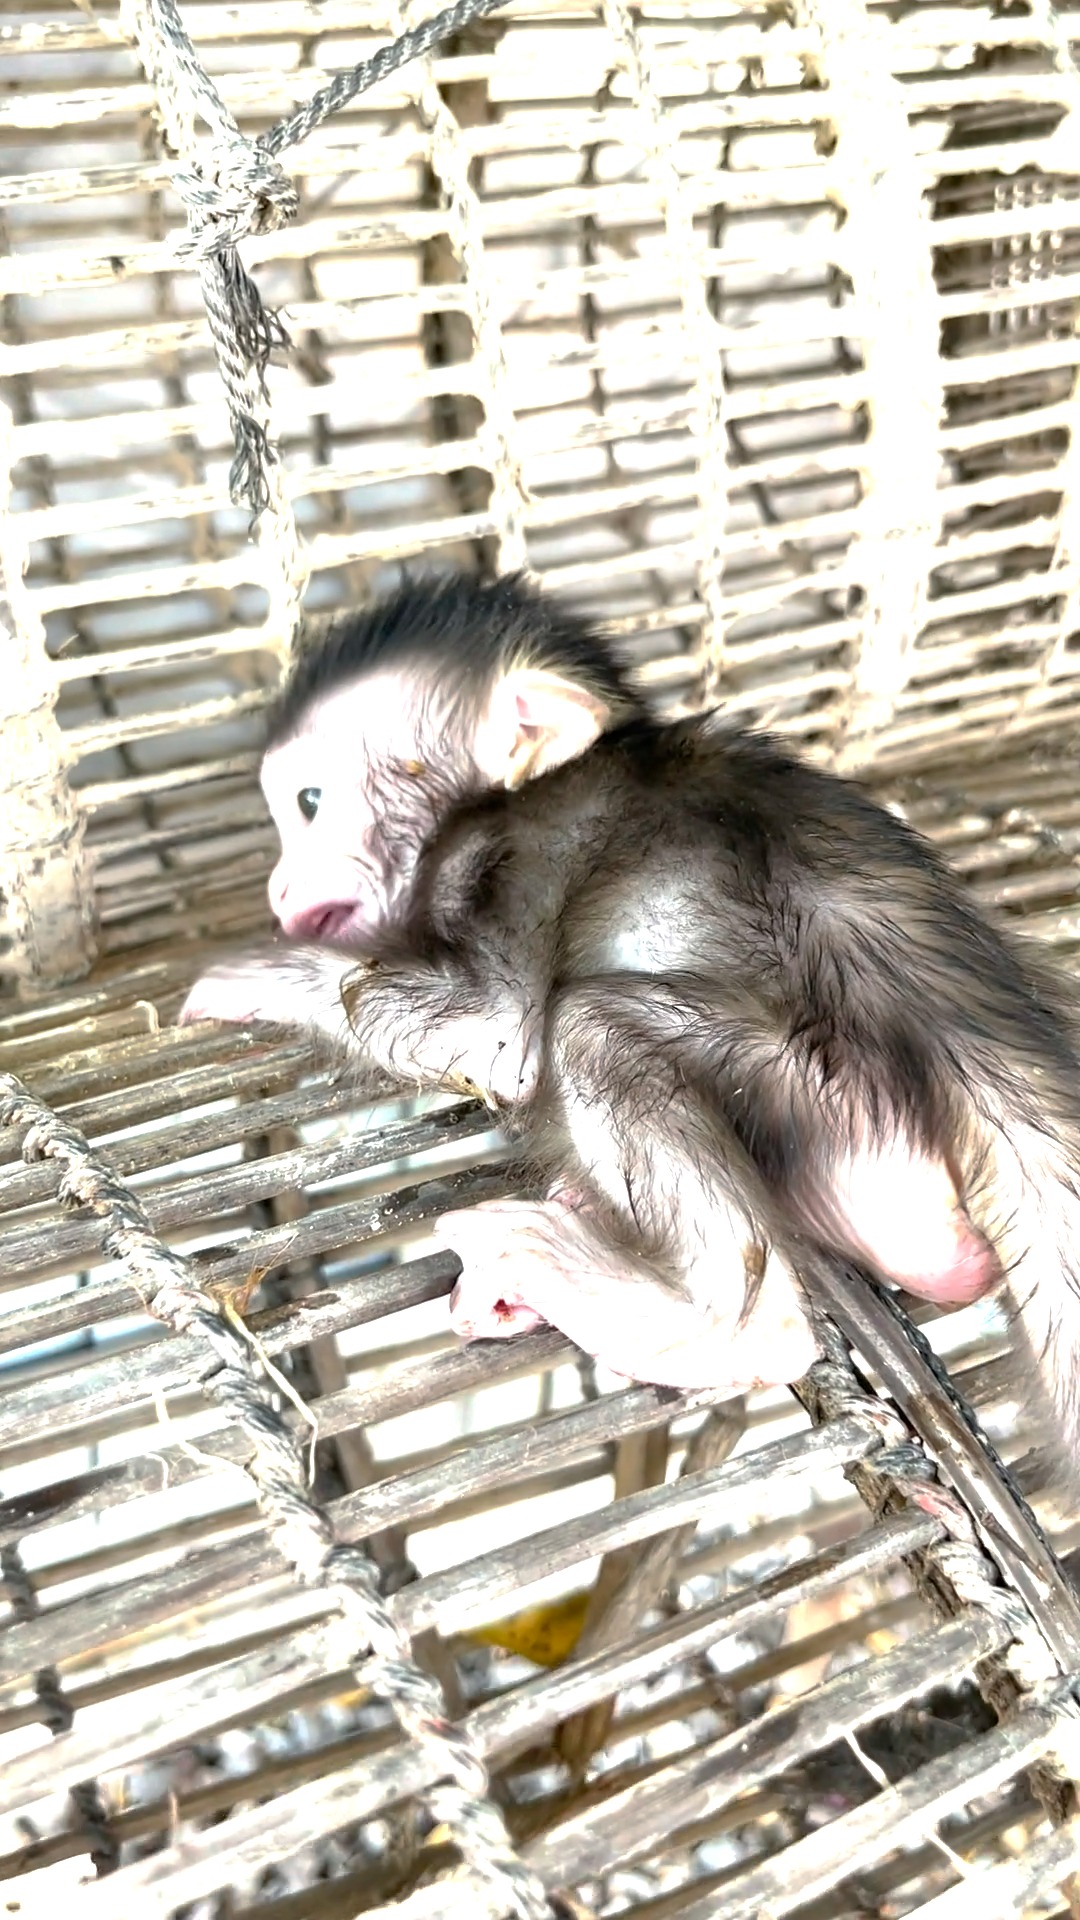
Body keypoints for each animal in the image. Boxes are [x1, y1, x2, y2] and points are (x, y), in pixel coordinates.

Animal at [181, 573, 1080, 1470]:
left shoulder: (503, 850)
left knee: (592, 1029)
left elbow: (489, 1033)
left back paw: (718, 1325)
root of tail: (971, 1030)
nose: (281, 889)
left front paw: (250, 973)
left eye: (309, 801)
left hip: (828, 1090)